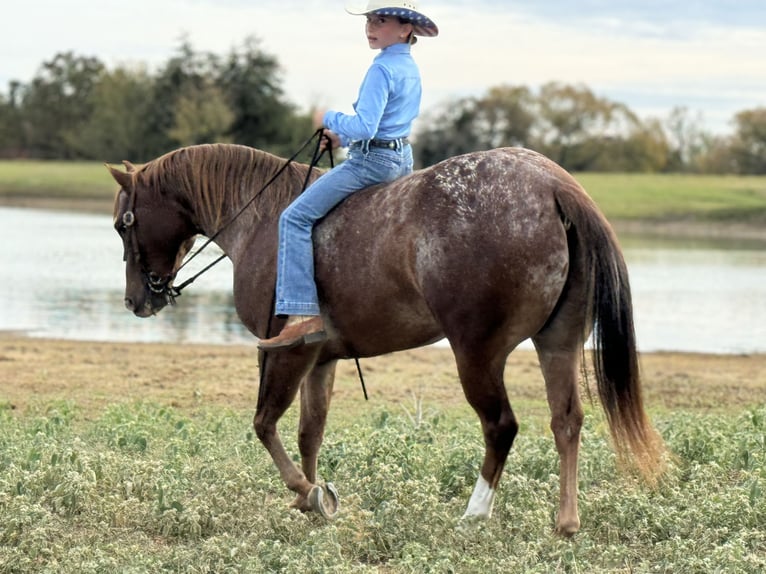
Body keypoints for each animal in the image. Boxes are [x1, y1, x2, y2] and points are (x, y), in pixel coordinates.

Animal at [108, 142, 664, 536]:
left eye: (121, 223)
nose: (136, 301)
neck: (264, 220)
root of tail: (551, 184)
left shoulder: (286, 352)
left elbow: (265, 424)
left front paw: (305, 490)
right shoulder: (321, 358)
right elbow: (310, 432)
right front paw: (310, 497)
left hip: (477, 352)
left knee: (501, 426)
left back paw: (474, 513)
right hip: (558, 344)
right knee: (565, 421)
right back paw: (566, 522)